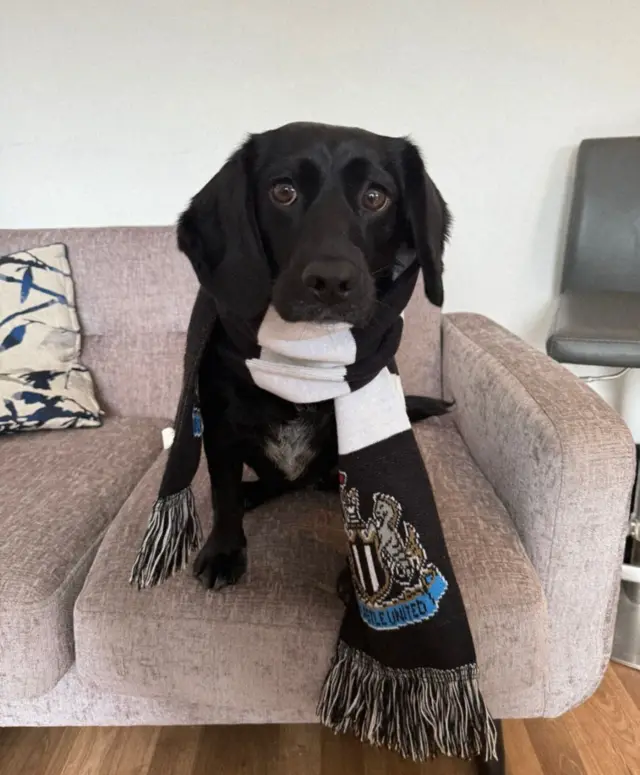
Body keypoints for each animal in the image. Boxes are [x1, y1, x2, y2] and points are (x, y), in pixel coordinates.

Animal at [176, 124, 450, 592]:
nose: (331, 281)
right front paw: (225, 549)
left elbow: (354, 506)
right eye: (283, 191)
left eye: (375, 196)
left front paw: (359, 579)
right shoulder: (219, 426)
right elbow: (223, 493)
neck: (303, 362)